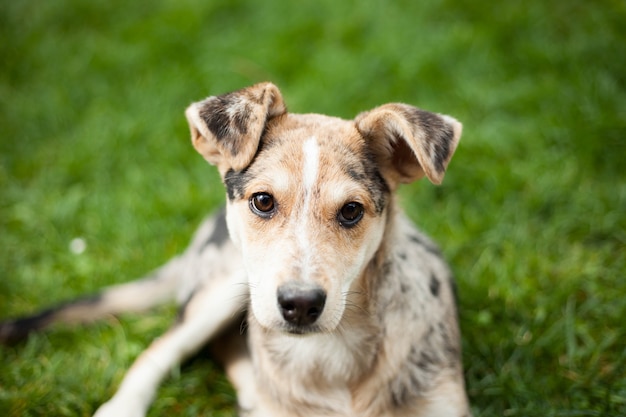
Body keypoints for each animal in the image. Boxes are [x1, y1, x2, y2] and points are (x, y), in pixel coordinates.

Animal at [0, 82, 470, 416]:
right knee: (164, 348)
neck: (331, 351)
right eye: (262, 201)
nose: (300, 304)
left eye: (352, 211)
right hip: (220, 290)